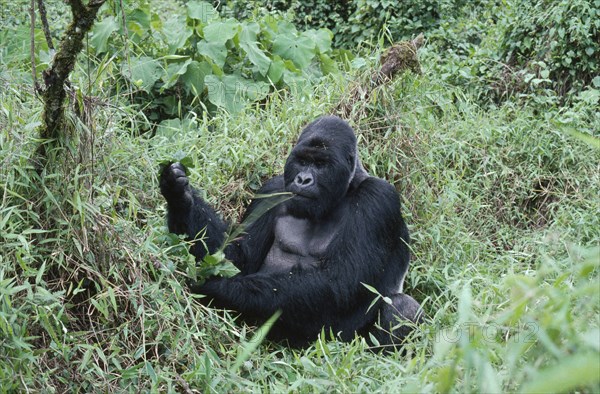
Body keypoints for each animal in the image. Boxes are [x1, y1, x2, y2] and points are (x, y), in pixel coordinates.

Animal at [159, 114, 422, 348]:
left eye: (320, 164)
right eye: (303, 161)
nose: (303, 179)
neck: (344, 191)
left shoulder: (379, 198)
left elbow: (339, 281)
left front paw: (217, 289)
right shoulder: (272, 190)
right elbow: (238, 258)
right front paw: (180, 197)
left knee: (403, 308)